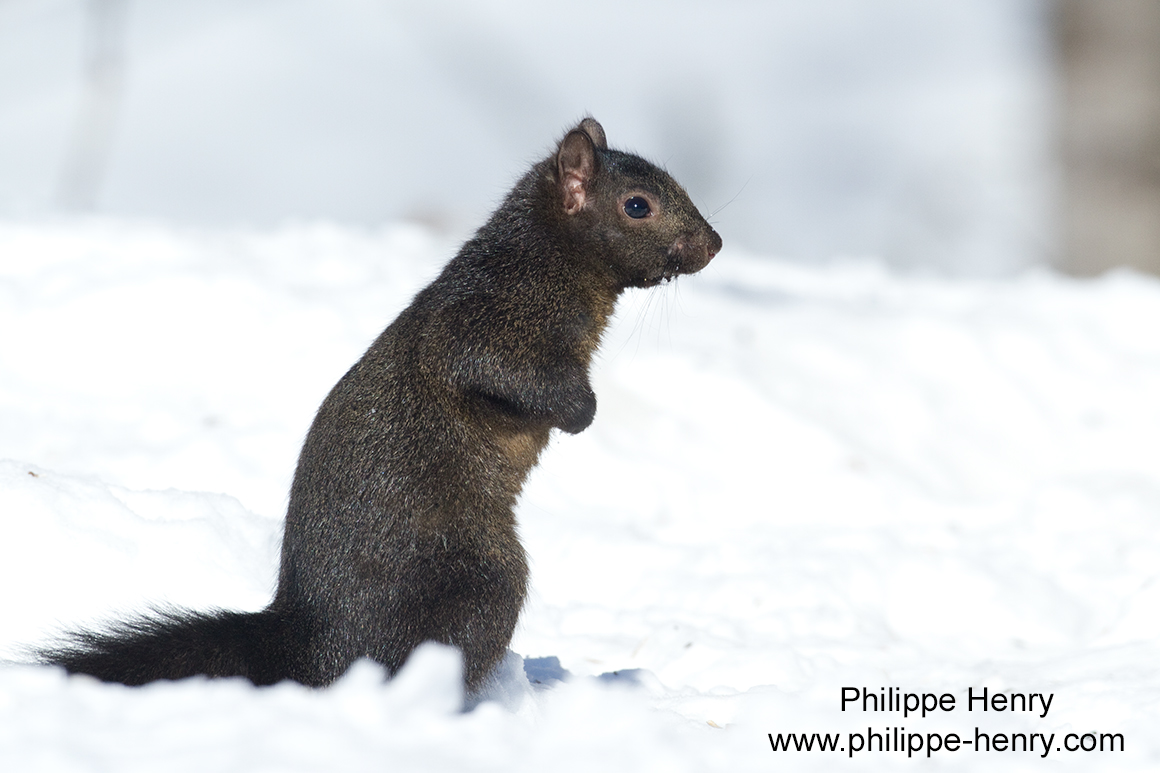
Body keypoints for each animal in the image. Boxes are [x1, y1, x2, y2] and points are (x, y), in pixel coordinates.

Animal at [40, 118, 722, 694]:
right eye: (638, 205)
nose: (714, 243)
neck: (552, 262)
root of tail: (313, 642)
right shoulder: (490, 320)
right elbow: (498, 368)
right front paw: (581, 412)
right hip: (482, 579)